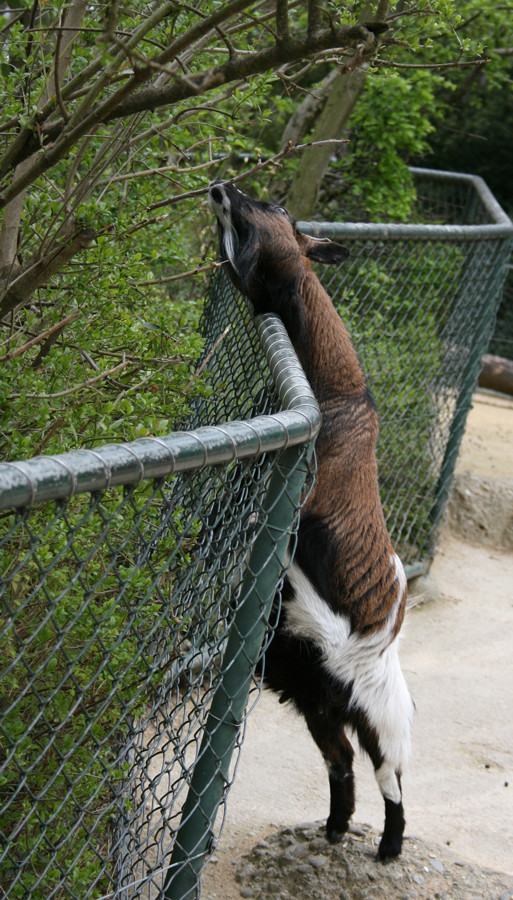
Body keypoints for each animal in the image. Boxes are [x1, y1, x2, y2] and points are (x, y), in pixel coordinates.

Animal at [208, 181, 412, 856]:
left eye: (275, 211)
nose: (221, 186)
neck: (337, 400)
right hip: (318, 702)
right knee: (341, 762)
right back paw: (334, 828)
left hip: (384, 717)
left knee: (390, 779)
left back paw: (388, 848)